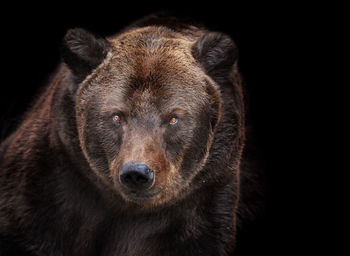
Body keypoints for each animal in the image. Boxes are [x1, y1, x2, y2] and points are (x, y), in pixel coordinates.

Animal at [0, 14, 254, 256]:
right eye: (116, 116)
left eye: (173, 118)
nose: (137, 173)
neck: (127, 209)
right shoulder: (47, 187)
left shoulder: (204, 206)